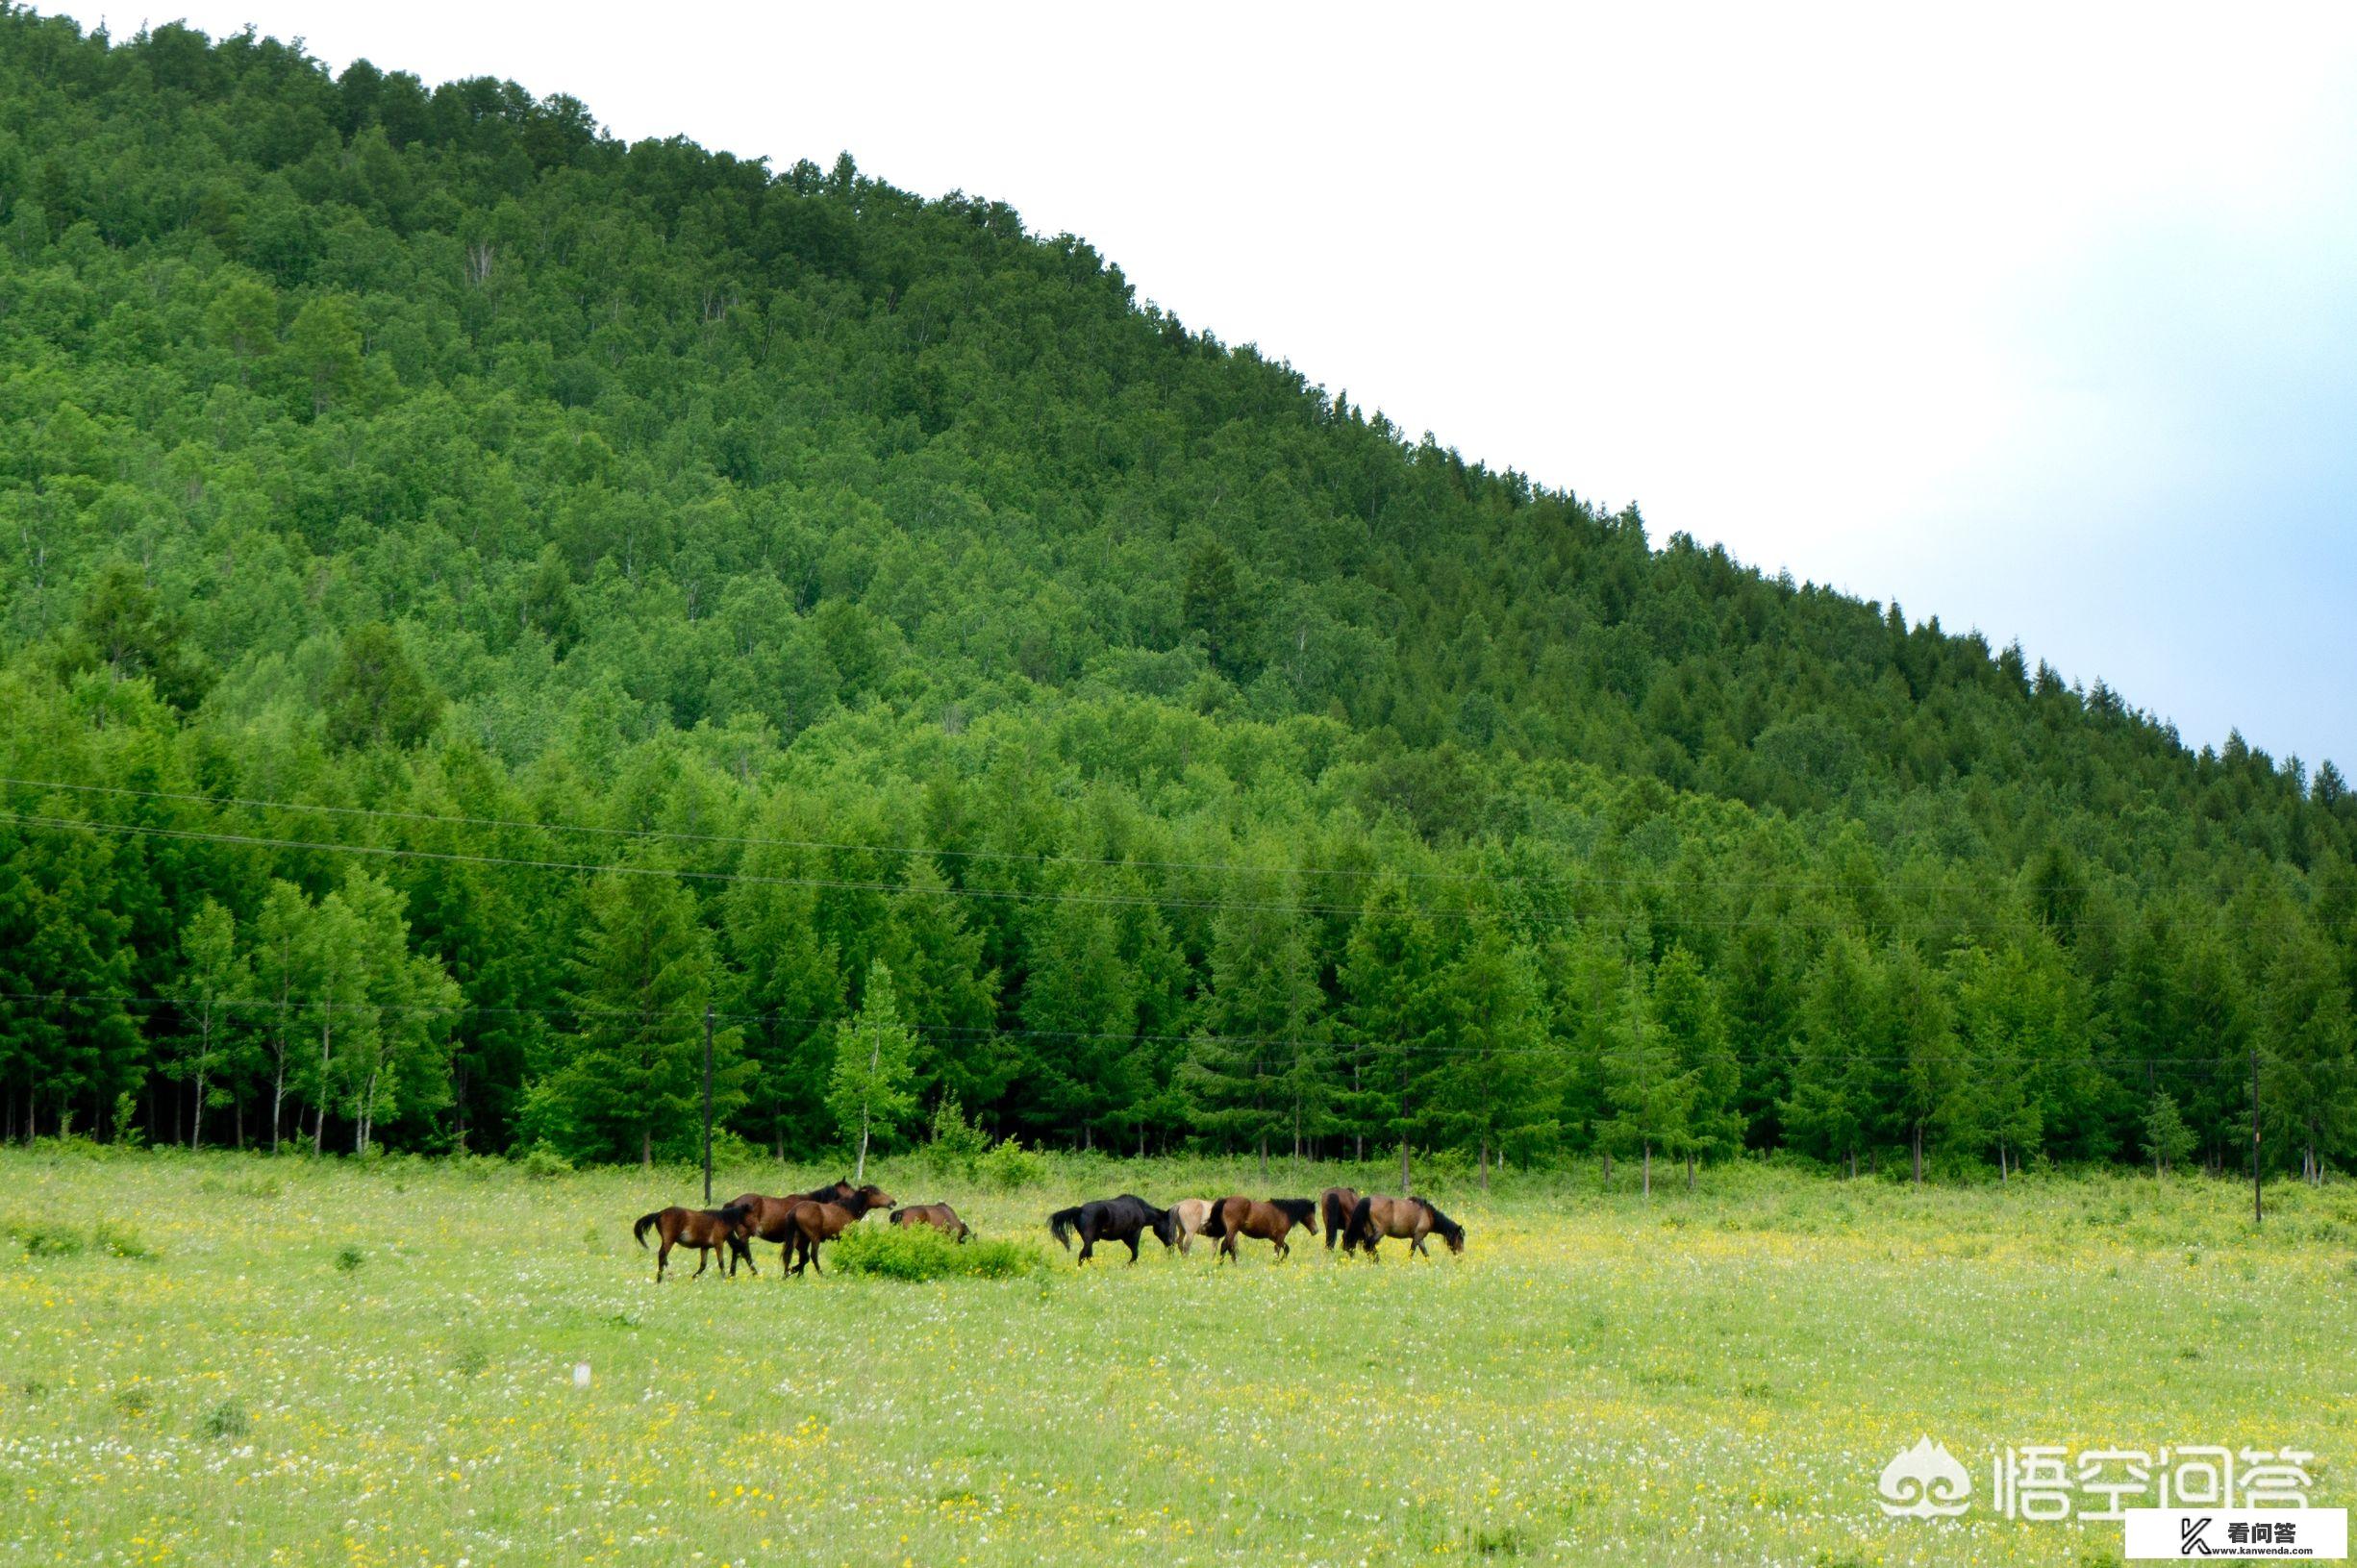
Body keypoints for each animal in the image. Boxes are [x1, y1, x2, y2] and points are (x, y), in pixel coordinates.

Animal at [725, 1174, 866, 1273]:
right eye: (852, 1192)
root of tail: (733, 1203)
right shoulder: (802, 1240)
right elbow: (805, 1258)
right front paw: (792, 1271)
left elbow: (803, 1258)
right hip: (745, 1234)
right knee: (744, 1253)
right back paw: (754, 1273)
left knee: (737, 1251)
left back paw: (733, 1274)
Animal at [1046, 1193, 1173, 1263]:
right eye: (1169, 1225)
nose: (1171, 1245)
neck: (1141, 1209)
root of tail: (1080, 1210)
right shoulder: (1134, 1234)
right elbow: (1135, 1255)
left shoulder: (1124, 1237)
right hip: (1088, 1240)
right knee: (1083, 1256)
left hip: (1089, 1241)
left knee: (1088, 1256)